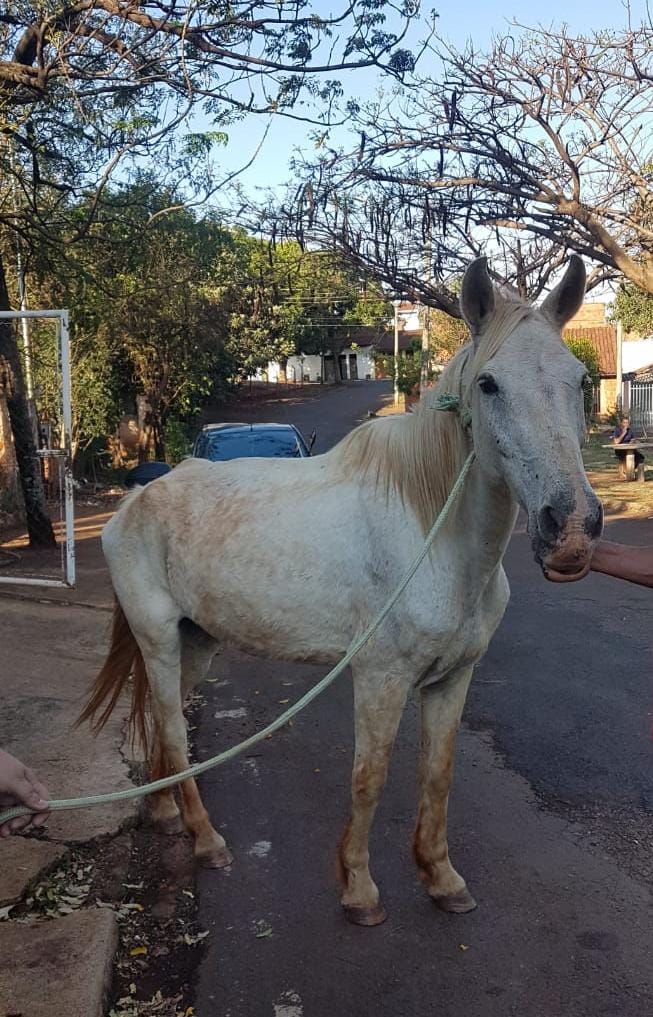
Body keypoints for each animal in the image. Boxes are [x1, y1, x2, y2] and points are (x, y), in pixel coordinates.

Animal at [79, 256, 602, 926]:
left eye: (578, 380)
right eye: (488, 385)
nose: (571, 530)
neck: (434, 535)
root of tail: (135, 499)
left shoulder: (453, 678)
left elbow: (438, 775)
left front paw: (442, 879)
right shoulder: (380, 677)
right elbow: (369, 777)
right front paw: (359, 889)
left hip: (196, 643)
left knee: (160, 726)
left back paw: (166, 813)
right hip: (160, 640)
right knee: (172, 729)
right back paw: (207, 841)